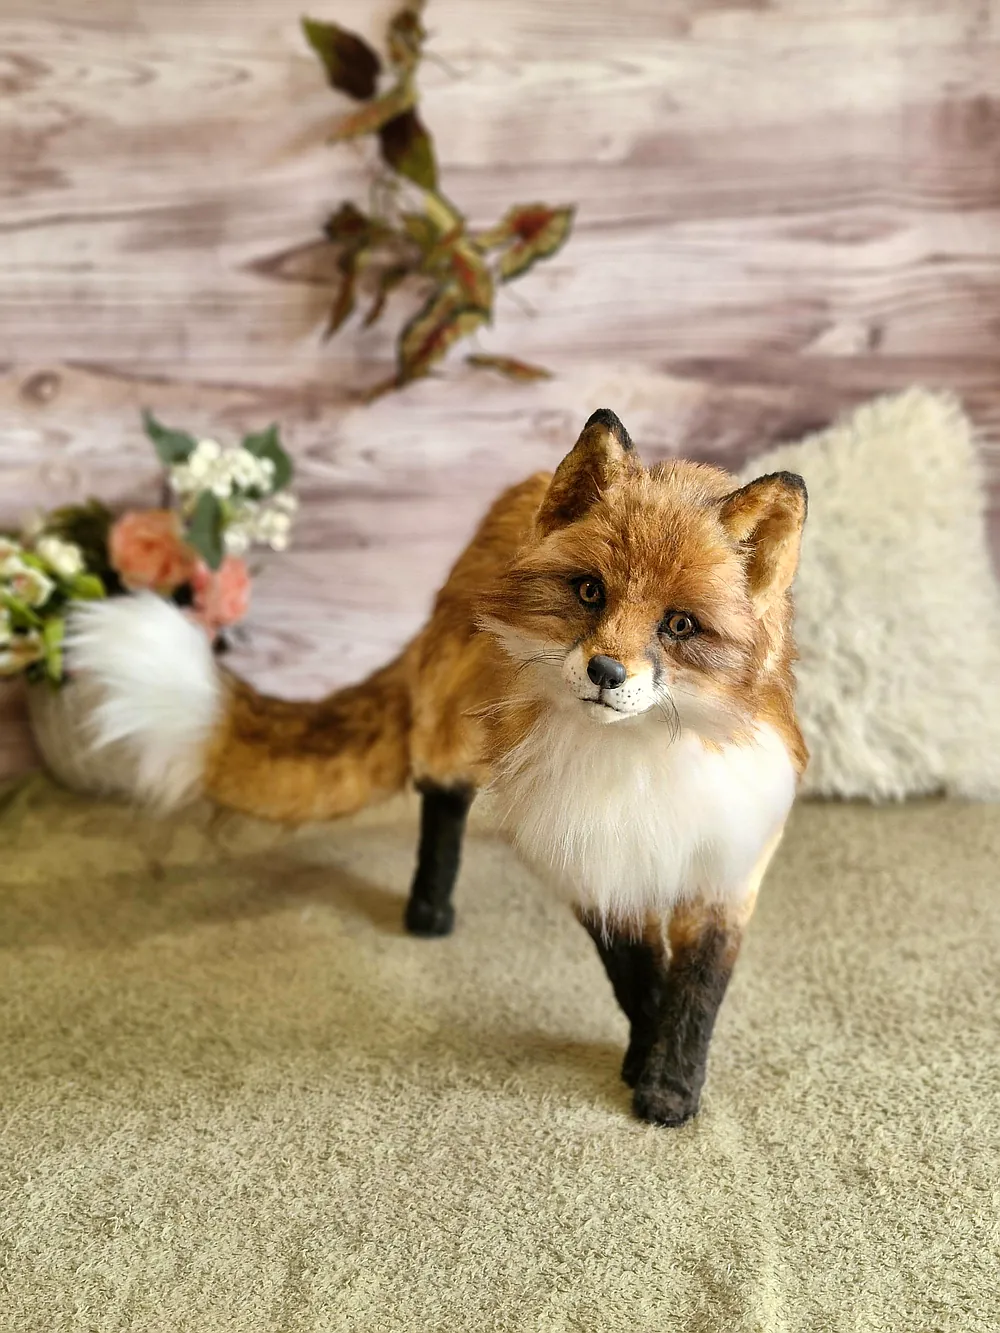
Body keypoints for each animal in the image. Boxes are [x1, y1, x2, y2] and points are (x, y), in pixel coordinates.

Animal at [67, 409, 808, 1126]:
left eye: (679, 625)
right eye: (590, 592)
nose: (604, 672)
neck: (637, 764)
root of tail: (516, 495)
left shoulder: (726, 869)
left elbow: (696, 991)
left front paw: (670, 1085)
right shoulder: (586, 857)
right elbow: (638, 978)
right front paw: (643, 1064)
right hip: (456, 730)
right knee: (442, 796)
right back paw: (428, 907)